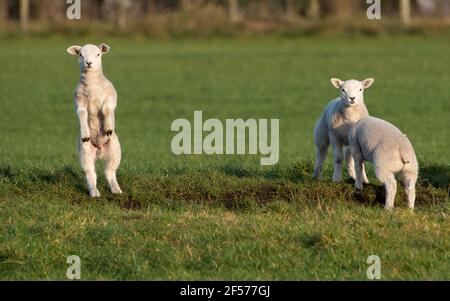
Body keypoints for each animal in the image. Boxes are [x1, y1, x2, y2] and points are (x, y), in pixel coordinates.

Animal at [67, 42, 123, 197]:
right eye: (81, 54)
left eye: (98, 54)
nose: (89, 63)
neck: (92, 87)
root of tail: (99, 151)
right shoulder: (79, 100)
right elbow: (81, 114)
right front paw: (85, 133)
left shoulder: (111, 96)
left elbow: (106, 109)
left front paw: (108, 127)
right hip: (85, 152)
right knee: (91, 173)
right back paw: (94, 192)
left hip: (115, 149)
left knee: (110, 171)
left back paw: (116, 190)